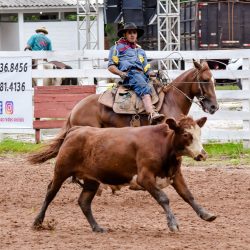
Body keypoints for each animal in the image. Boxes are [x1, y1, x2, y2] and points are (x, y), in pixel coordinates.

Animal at [31, 116, 216, 232]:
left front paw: (206, 214)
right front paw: (173, 224)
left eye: (199, 133)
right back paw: (38, 222)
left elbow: (188, 195)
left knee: (84, 202)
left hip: (92, 180)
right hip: (61, 171)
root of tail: (76, 130)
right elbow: (164, 198)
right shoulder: (144, 178)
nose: (202, 154)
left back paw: (97, 227)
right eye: (186, 134)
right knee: (50, 193)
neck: (163, 145)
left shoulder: (175, 175)